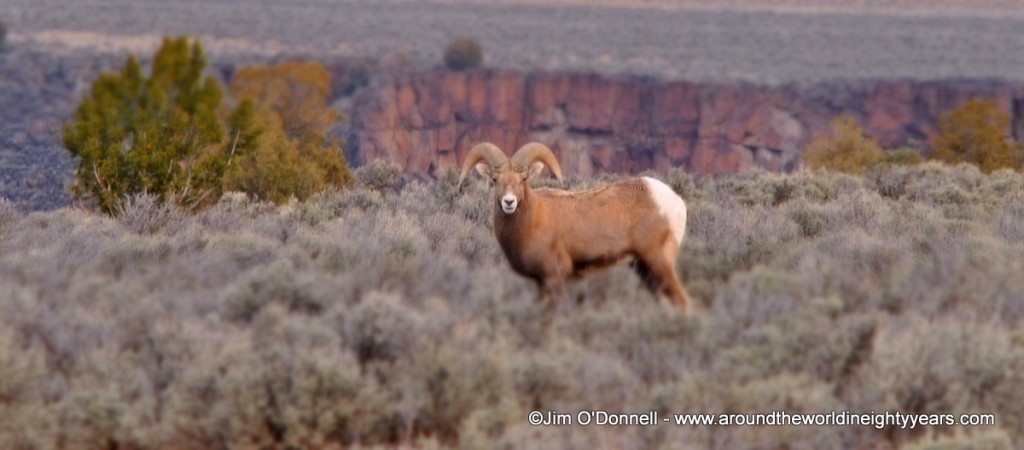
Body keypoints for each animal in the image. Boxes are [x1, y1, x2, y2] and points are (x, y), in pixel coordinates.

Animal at [459, 142, 692, 313]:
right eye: (495, 179)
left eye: (523, 178)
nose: (509, 202)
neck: (532, 222)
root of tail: (675, 201)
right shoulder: (541, 283)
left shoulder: (553, 279)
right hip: (643, 267)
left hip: (658, 260)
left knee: (683, 302)